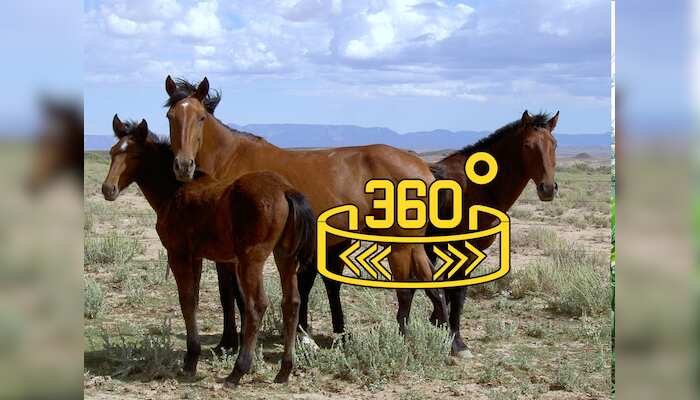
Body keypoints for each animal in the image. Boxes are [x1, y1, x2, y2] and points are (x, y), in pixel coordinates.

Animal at [101, 115, 316, 385]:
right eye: (112, 152)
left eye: (135, 155)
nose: (108, 189)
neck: (174, 192)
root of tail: (285, 190)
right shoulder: (197, 257)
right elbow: (194, 299)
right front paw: (191, 358)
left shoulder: (178, 254)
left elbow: (186, 300)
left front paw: (191, 360)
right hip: (285, 255)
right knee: (292, 302)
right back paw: (284, 371)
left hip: (252, 258)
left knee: (257, 305)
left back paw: (238, 371)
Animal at [162, 76, 452, 352]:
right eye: (170, 117)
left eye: (201, 117)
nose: (183, 166)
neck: (232, 161)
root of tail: (422, 166)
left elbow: (233, 295)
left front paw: (230, 343)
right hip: (413, 243)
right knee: (431, 282)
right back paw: (451, 341)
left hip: (399, 243)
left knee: (405, 290)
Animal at [426, 110, 560, 356]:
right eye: (527, 145)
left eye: (554, 144)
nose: (547, 189)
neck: (478, 187)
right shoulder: (462, 251)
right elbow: (457, 293)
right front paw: (457, 342)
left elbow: (451, 292)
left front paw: (440, 326)